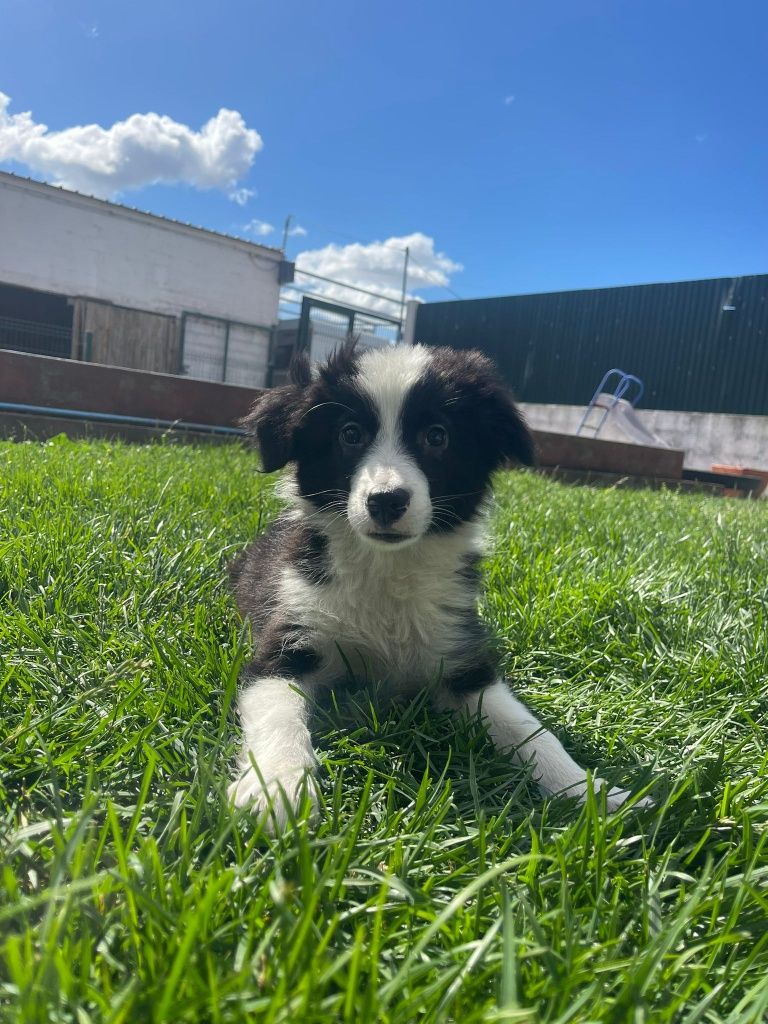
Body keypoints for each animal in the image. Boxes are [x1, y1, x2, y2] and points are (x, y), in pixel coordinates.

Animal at [227, 339, 643, 827]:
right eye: (350, 434)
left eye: (437, 436)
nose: (386, 501)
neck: (389, 568)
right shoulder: (287, 642)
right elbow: (279, 714)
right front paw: (278, 786)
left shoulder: (461, 656)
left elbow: (529, 728)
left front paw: (592, 792)